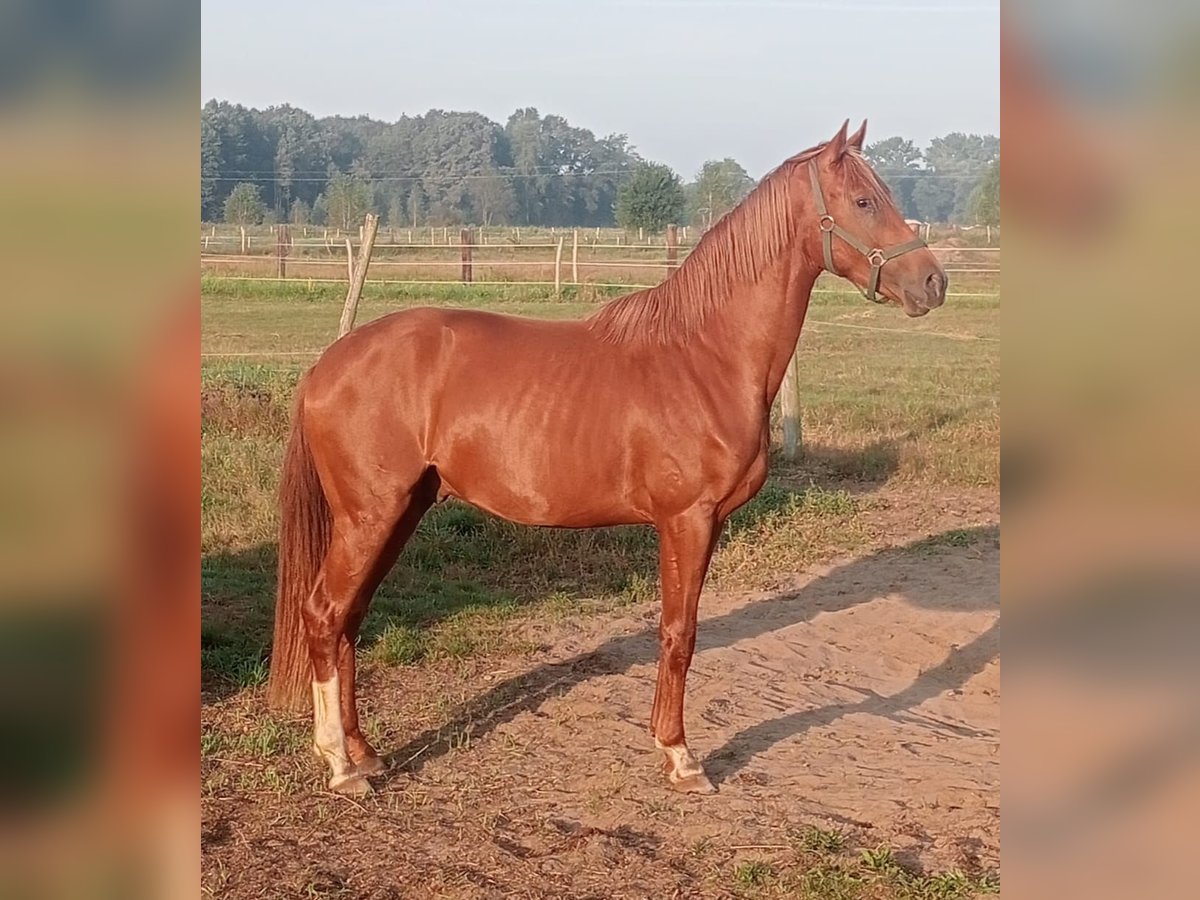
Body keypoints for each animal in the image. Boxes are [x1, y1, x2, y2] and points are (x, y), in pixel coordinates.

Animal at [270, 118, 945, 796]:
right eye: (864, 201)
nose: (934, 282)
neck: (704, 355)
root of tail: (327, 364)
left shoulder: (704, 524)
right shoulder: (687, 521)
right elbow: (678, 634)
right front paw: (679, 756)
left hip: (400, 513)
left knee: (351, 619)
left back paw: (365, 753)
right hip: (370, 517)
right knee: (325, 615)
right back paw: (340, 765)